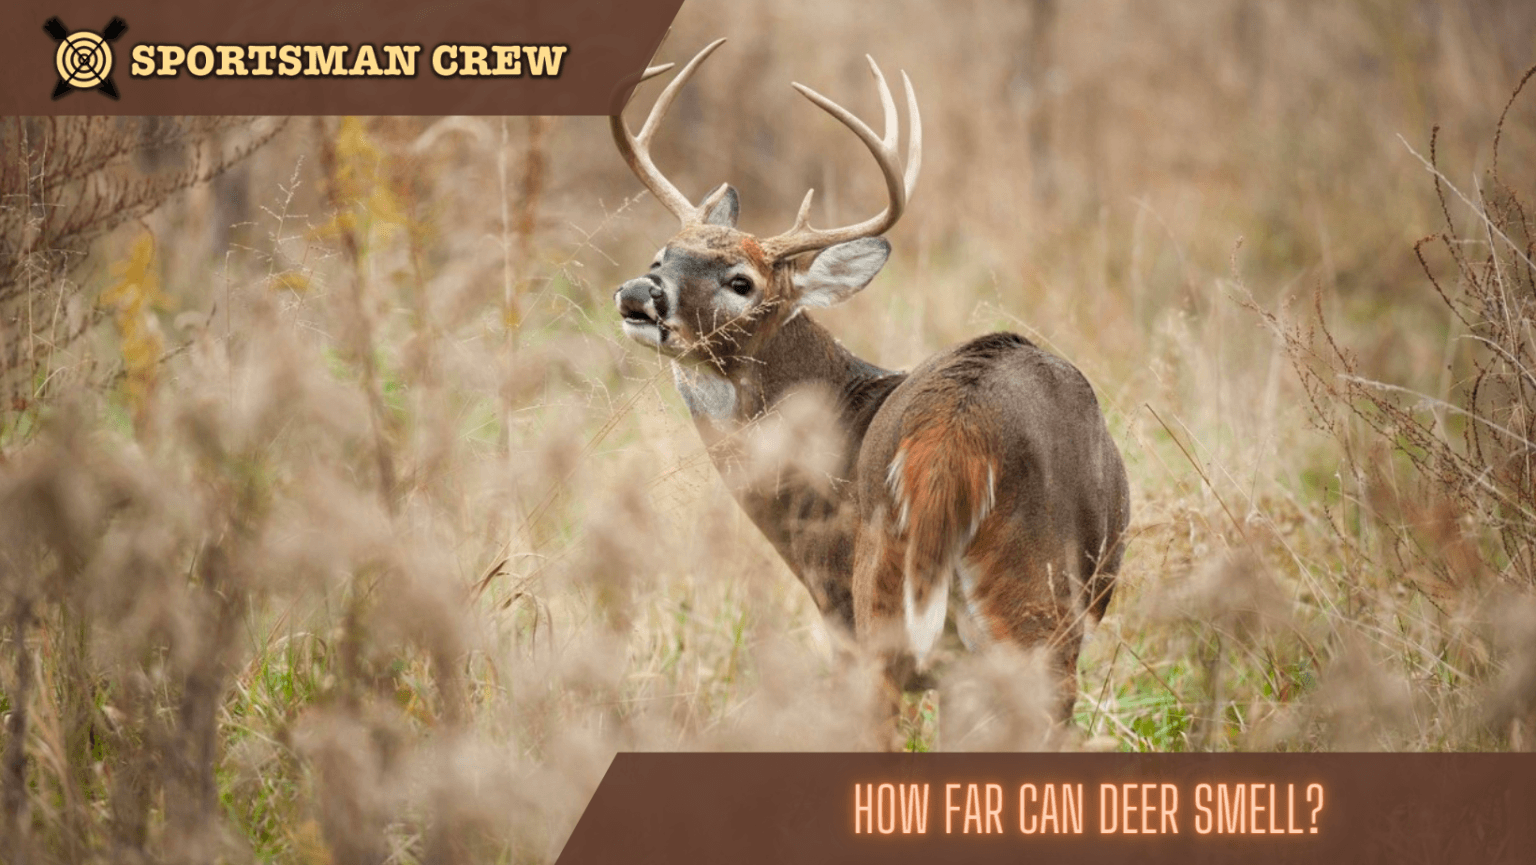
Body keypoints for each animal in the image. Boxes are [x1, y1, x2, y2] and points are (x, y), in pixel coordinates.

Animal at [610, 38, 1131, 749]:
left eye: (742, 281)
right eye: (664, 255)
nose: (640, 293)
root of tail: (955, 435)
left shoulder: (837, 610)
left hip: (951, 607)